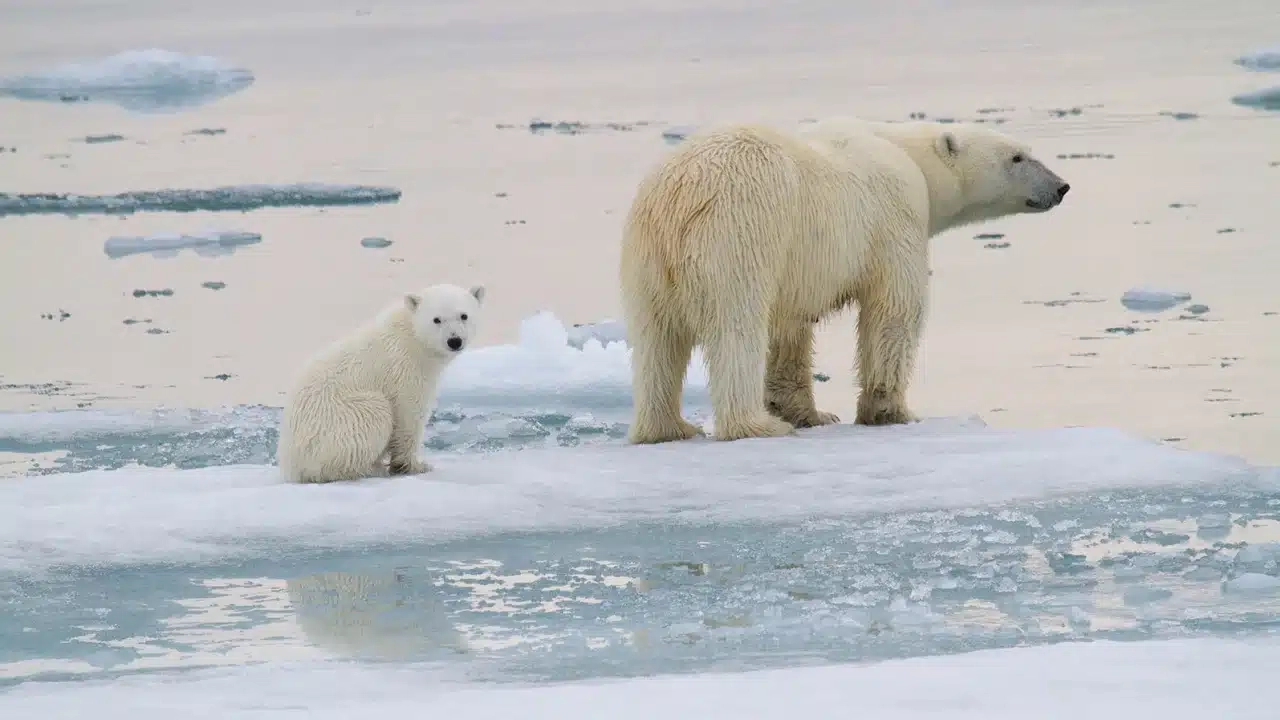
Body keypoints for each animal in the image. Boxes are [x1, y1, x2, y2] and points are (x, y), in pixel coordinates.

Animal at [619, 116, 1070, 443]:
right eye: (1017, 157)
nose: (1062, 186)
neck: (910, 157)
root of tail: (679, 197)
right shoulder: (895, 218)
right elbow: (894, 310)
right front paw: (891, 411)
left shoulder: (797, 267)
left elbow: (790, 329)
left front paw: (810, 412)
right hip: (739, 234)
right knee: (737, 328)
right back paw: (754, 425)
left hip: (646, 257)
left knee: (655, 340)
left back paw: (667, 429)